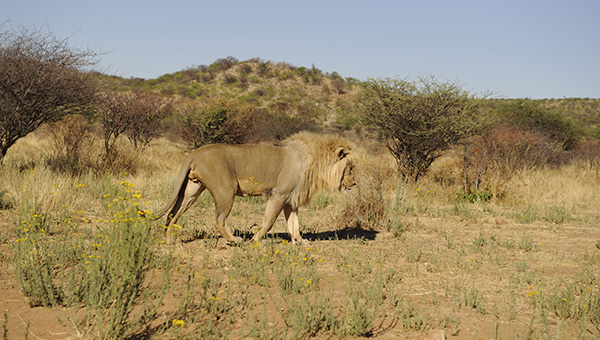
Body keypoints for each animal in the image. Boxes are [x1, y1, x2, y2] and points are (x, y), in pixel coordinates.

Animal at [152, 131, 356, 246]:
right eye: (351, 167)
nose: (354, 184)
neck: (316, 162)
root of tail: (194, 153)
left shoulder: (291, 199)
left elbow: (294, 223)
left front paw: (300, 241)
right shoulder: (278, 195)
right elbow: (269, 222)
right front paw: (256, 240)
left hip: (192, 191)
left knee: (173, 213)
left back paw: (169, 240)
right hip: (226, 190)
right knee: (218, 220)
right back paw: (235, 240)